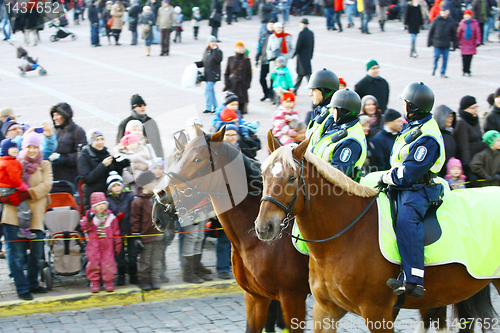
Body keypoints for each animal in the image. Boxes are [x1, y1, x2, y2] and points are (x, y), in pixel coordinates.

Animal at [155, 127, 312, 332]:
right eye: (177, 158)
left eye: (197, 159)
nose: (160, 195)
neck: (255, 242)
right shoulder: (256, 298)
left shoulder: (293, 298)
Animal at [256, 132, 498, 332]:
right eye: (263, 174)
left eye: (291, 178)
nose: (264, 227)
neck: (344, 237)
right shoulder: (325, 309)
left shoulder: (378, 313)